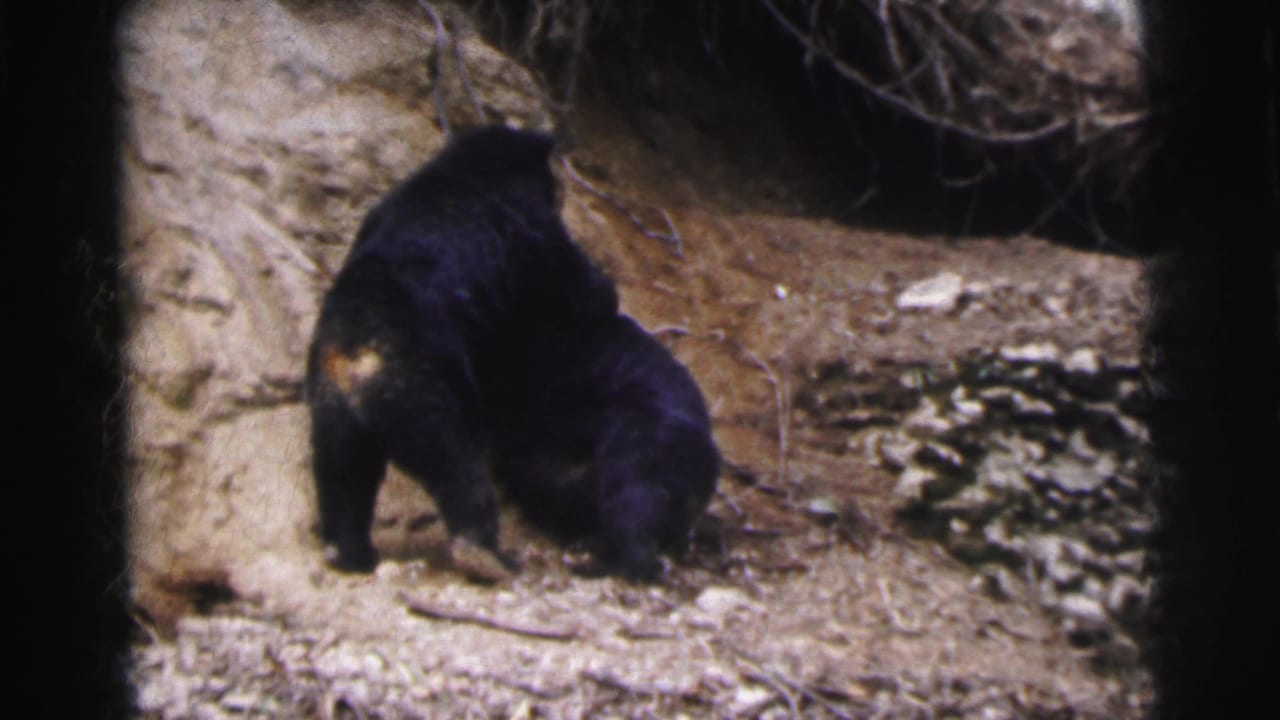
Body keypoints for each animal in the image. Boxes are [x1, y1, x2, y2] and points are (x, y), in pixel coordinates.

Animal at [305, 125, 718, 581]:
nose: (563, 190)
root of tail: (358, 360)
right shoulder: (531, 233)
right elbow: (577, 286)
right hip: (425, 389)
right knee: (458, 464)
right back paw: (491, 555)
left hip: (335, 413)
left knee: (344, 477)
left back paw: (348, 551)